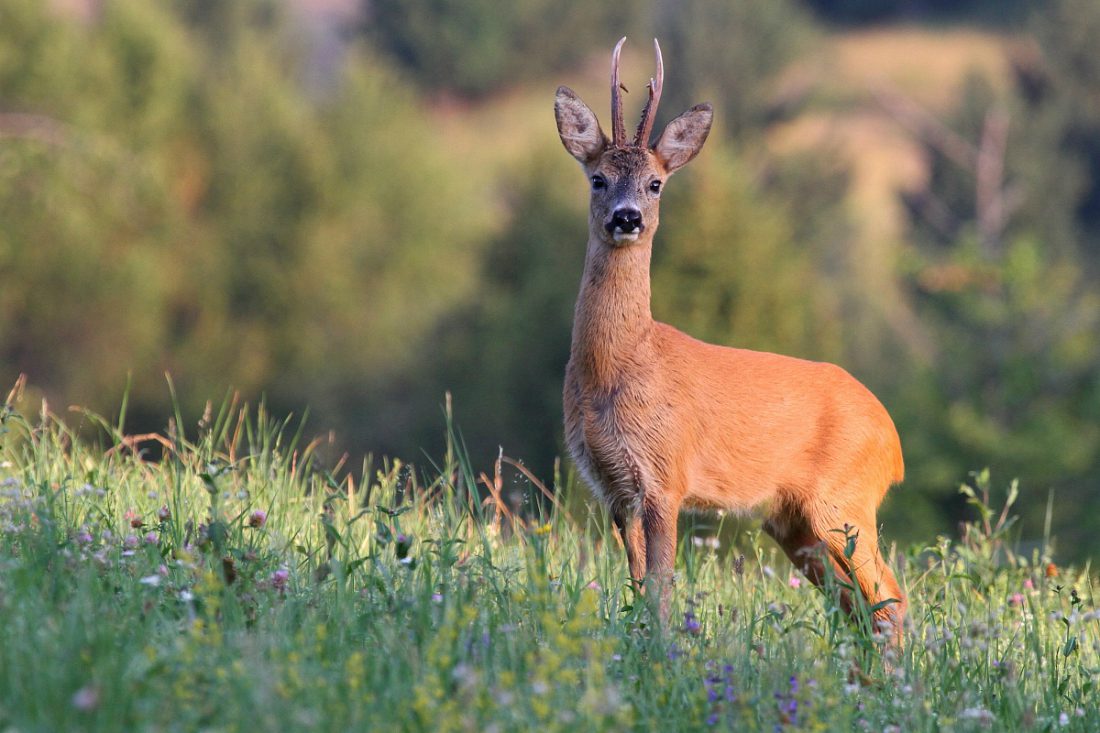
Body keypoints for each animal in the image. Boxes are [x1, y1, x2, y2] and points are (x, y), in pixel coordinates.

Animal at [554, 37, 906, 642]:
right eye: (597, 178)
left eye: (655, 183)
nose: (626, 218)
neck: (619, 367)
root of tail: (893, 443)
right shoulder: (613, 489)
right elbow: (636, 583)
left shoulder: (665, 475)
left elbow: (660, 588)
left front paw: (662, 651)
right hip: (794, 523)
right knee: (858, 607)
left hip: (844, 500)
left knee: (892, 599)